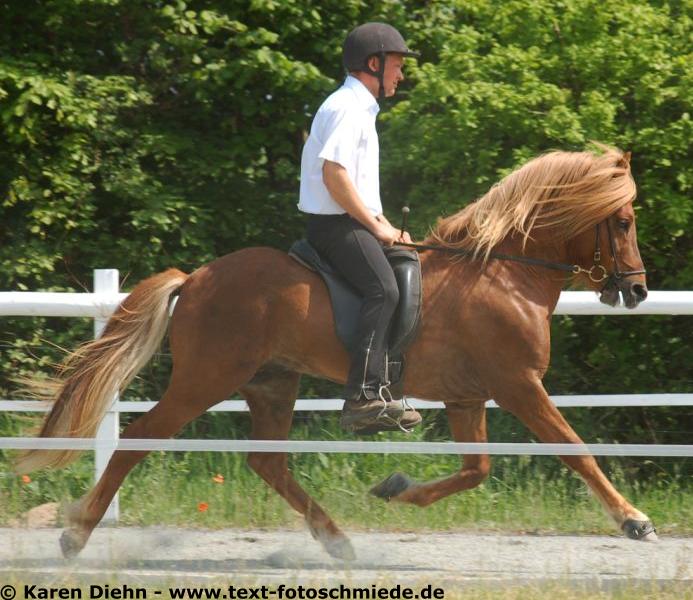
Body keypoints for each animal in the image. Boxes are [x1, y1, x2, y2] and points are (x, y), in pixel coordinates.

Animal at [16, 144, 656, 556]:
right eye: (623, 221)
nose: (636, 290)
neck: (502, 272)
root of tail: (197, 277)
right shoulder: (518, 384)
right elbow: (575, 451)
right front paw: (634, 521)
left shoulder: (469, 397)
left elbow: (476, 470)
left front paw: (397, 490)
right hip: (208, 378)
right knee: (143, 437)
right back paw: (76, 534)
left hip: (273, 383)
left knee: (268, 462)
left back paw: (338, 540)